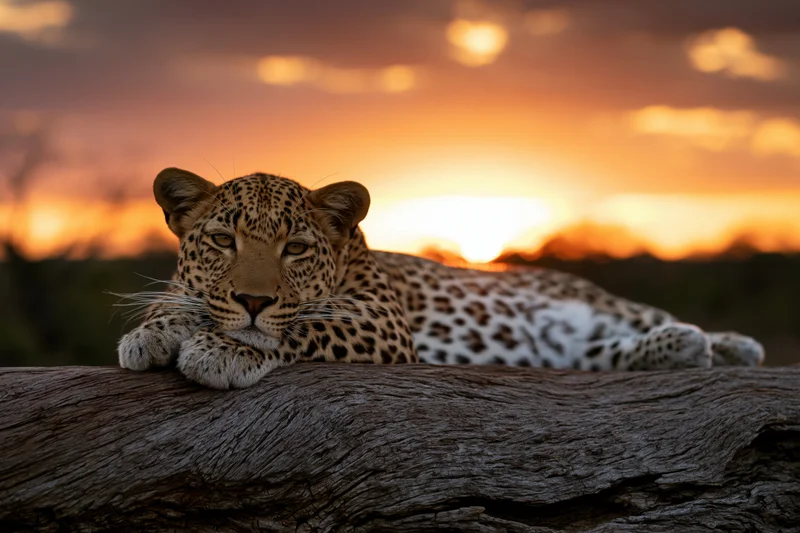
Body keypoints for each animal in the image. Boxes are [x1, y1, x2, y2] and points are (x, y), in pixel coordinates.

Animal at [118, 167, 764, 389]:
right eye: (223, 241)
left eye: (295, 248)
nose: (252, 297)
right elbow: (176, 302)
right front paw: (153, 333)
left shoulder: (382, 321)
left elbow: (298, 324)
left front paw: (222, 348)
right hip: (563, 348)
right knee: (602, 353)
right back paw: (682, 346)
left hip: (596, 301)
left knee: (644, 317)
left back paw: (731, 346)